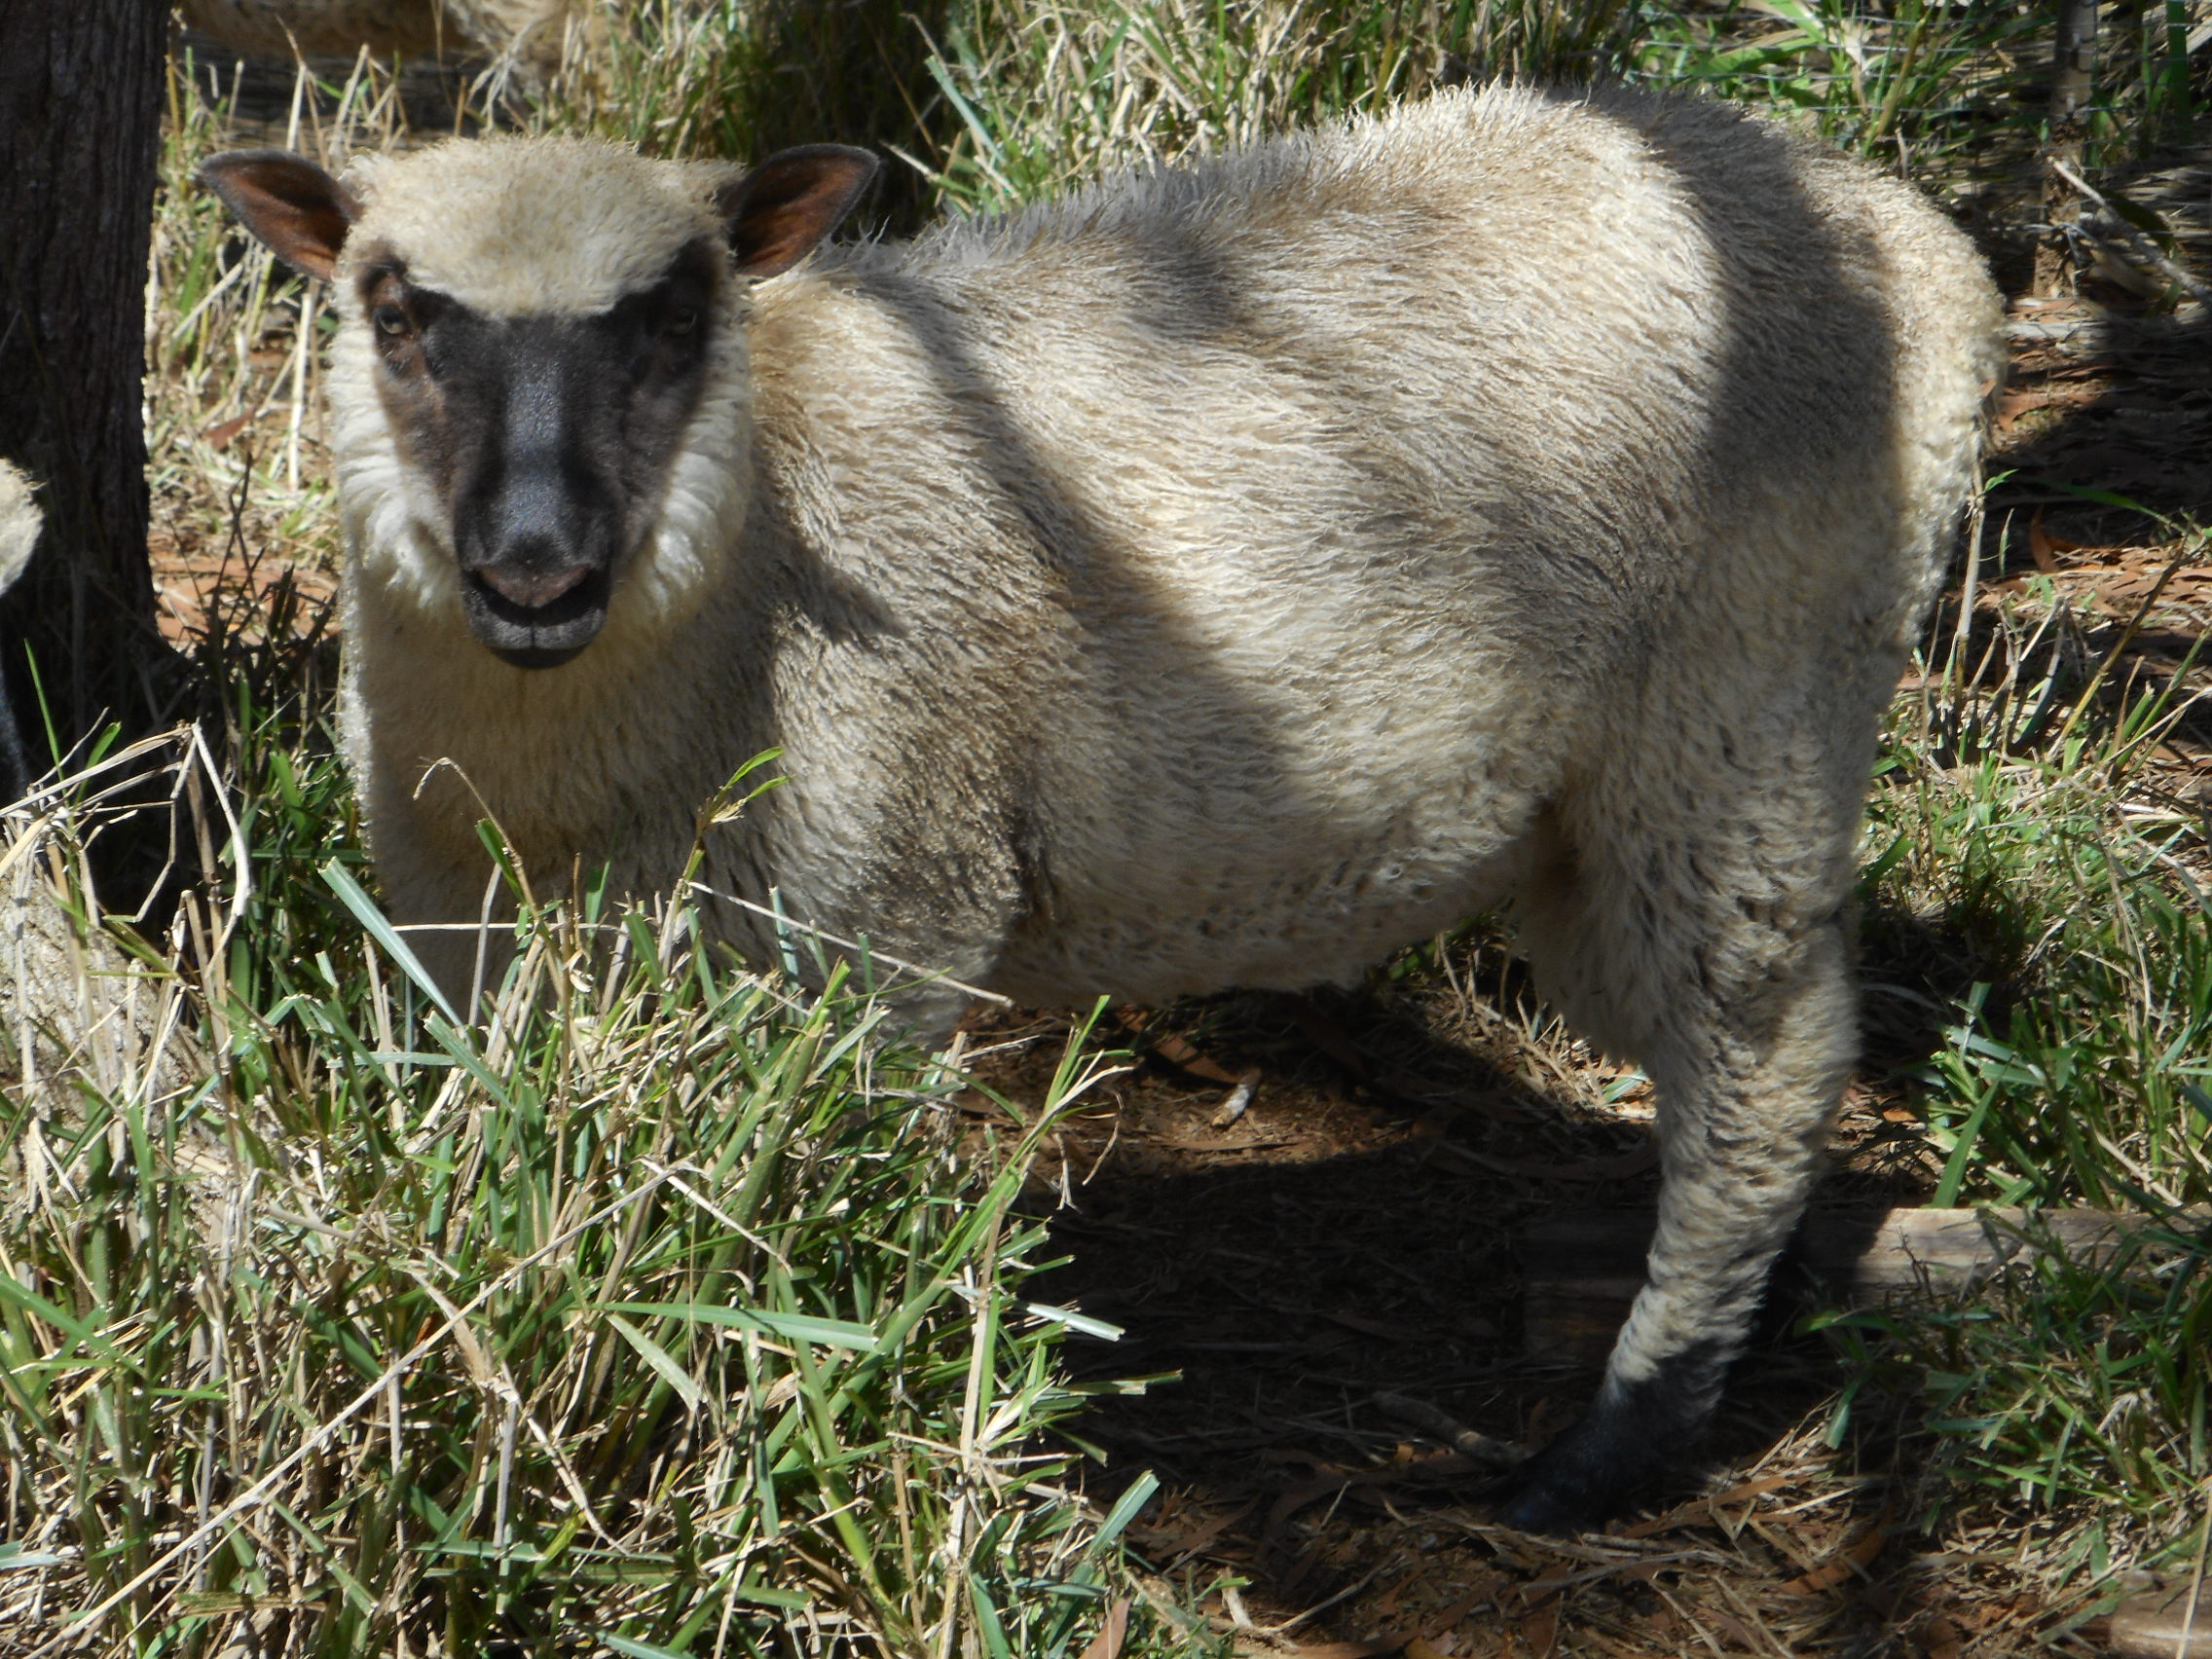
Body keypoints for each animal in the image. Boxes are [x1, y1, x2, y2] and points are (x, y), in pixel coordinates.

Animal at [203, 88, 2008, 1530]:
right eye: (393, 313)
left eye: (671, 314)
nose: (534, 564)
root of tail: (1914, 236)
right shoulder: (454, 927)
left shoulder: (883, 921)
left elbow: (795, 1209)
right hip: (1604, 802)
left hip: (1748, 698)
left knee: (1763, 1053)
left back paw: (1613, 1445)